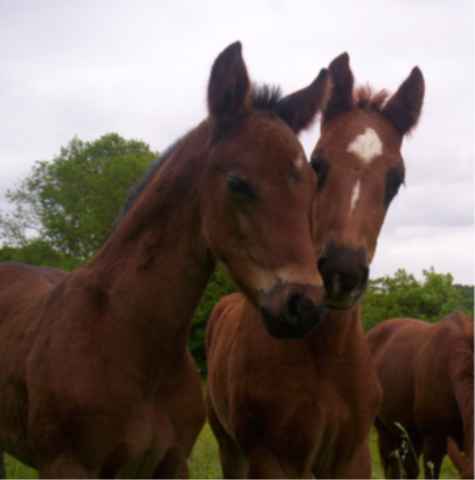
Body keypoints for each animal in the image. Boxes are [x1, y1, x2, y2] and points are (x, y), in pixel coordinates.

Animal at [0, 43, 330, 478]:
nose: (303, 306)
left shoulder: (172, 461)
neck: (130, 338)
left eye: (311, 184)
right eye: (237, 183)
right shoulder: (67, 464)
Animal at [206, 50, 426, 478]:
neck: (325, 353)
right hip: (227, 443)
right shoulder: (273, 459)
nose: (341, 272)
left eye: (396, 181)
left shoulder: (352, 457)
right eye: (318, 163)